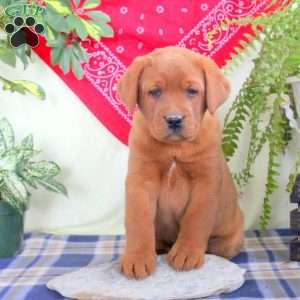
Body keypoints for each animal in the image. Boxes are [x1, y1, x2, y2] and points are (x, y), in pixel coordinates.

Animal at [116, 46, 244, 278]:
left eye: (192, 91)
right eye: (154, 92)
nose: (174, 120)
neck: (175, 148)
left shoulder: (206, 182)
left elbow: (196, 219)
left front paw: (187, 252)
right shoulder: (140, 181)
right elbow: (138, 221)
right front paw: (137, 257)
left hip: (229, 240)